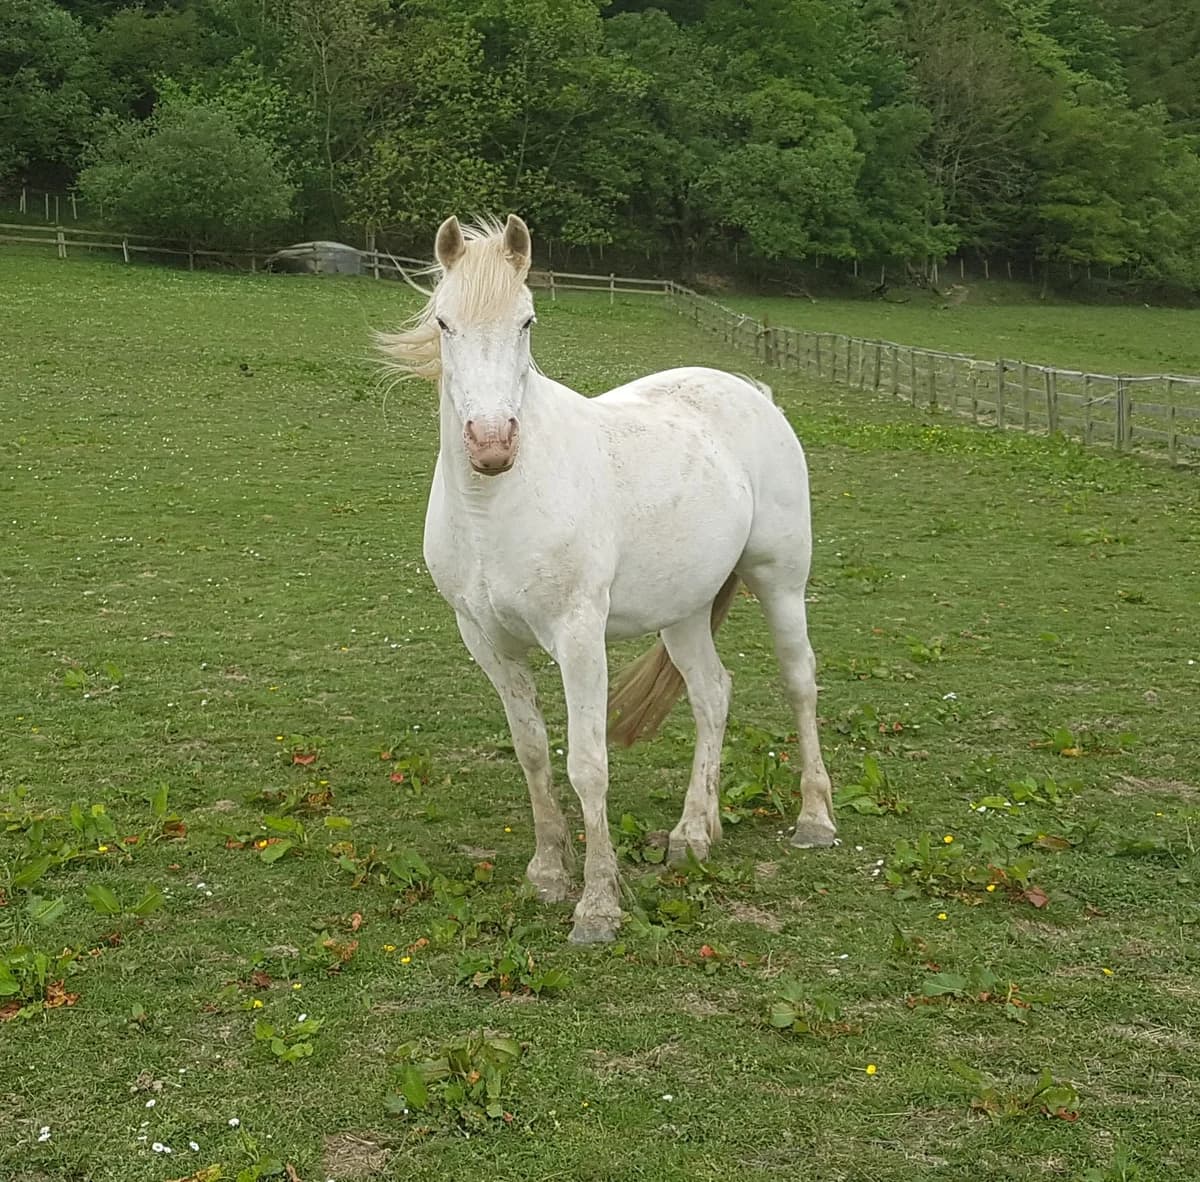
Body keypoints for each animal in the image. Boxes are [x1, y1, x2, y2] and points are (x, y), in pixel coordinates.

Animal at [378, 214, 834, 944]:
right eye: (445, 322)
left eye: (527, 321)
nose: (492, 444)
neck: (492, 509)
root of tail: (752, 392)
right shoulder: (486, 641)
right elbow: (533, 752)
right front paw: (547, 872)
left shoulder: (578, 638)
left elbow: (587, 765)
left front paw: (597, 906)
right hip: (684, 611)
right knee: (712, 695)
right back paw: (693, 832)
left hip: (781, 583)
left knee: (799, 683)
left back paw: (815, 818)